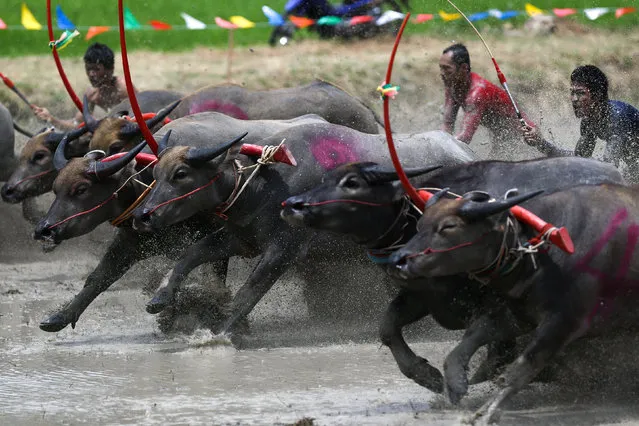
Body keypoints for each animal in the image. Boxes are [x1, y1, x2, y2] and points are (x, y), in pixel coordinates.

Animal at [32, 111, 324, 332]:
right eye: (56, 188)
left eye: (81, 189)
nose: (43, 230)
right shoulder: (133, 240)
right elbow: (99, 277)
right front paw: (59, 316)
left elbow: (214, 280)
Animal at [131, 121, 476, 334]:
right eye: (156, 174)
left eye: (181, 174)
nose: (143, 215)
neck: (264, 183)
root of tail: (465, 152)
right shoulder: (242, 238)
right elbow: (191, 254)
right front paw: (160, 298)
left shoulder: (284, 249)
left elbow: (249, 291)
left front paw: (220, 333)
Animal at [280, 156, 624, 396]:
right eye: (325, 178)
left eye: (352, 182)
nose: (292, 204)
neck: (414, 221)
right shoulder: (423, 296)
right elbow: (388, 326)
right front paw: (425, 375)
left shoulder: (492, 298)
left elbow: (486, 336)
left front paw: (466, 379)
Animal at [392, 184, 639, 426]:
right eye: (420, 224)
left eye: (449, 226)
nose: (398, 260)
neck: (540, 253)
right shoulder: (519, 315)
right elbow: (473, 336)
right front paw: (455, 383)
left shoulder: (564, 323)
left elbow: (519, 370)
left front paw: (486, 413)